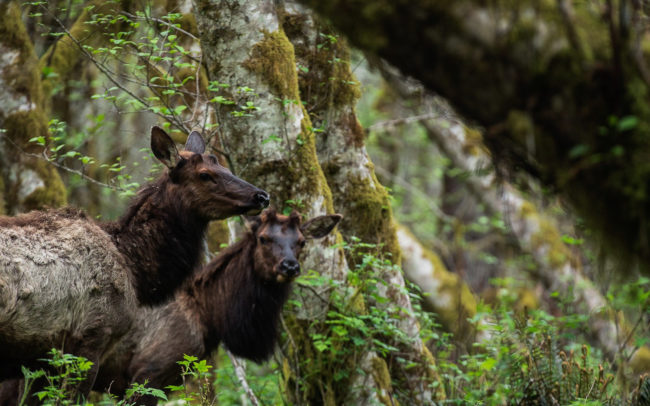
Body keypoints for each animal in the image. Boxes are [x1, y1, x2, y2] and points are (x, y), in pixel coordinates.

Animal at [0, 127, 268, 400]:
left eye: (223, 166)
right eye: (205, 174)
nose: (262, 196)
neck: (136, 270)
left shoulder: (42, 361)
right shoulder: (90, 340)